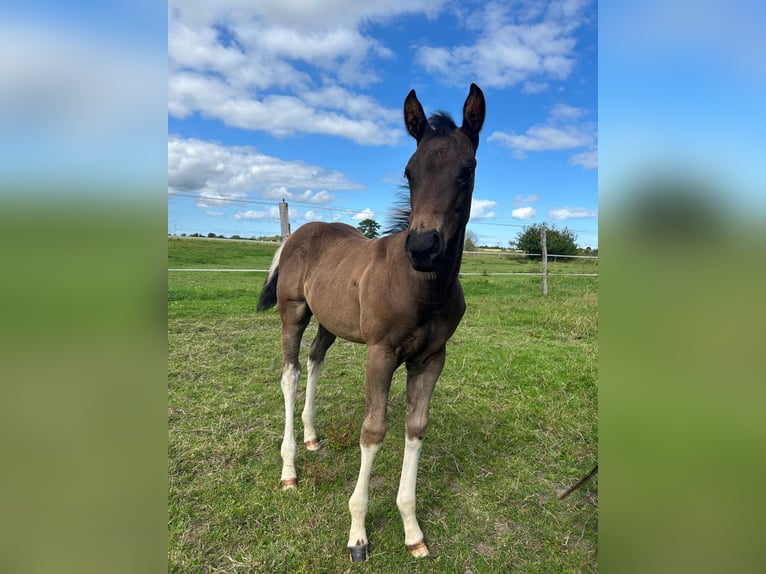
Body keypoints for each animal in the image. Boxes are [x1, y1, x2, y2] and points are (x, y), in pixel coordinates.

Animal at [257, 83, 485, 562]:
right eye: (410, 171)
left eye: (467, 169)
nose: (422, 246)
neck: (422, 288)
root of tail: (297, 234)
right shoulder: (380, 354)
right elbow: (373, 430)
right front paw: (357, 534)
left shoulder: (431, 359)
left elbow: (415, 427)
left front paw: (413, 531)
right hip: (293, 312)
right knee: (290, 372)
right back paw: (289, 468)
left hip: (330, 320)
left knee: (315, 360)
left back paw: (311, 436)